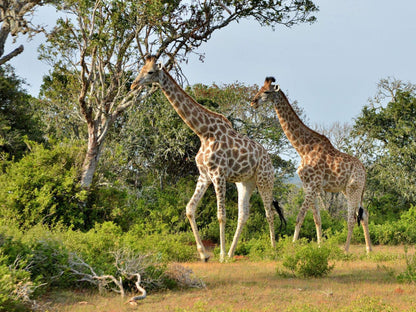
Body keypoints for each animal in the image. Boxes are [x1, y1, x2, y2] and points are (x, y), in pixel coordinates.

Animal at [130, 56, 286, 264]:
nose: (133, 85)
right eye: (141, 68)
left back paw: (273, 250)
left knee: (269, 213)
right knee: (243, 215)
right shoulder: (204, 176)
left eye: (150, 72)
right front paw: (204, 254)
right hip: (245, 183)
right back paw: (232, 253)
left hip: (265, 179)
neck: (203, 133)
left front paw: (219, 255)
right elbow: (189, 208)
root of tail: (268, 158)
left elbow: (221, 215)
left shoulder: (218, 175)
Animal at [249, 76, 372, 254]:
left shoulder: (313, 184)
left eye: (266, 92)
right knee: (364, 214)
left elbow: (299, 217)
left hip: (353, 188)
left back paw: (346, 250)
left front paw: (293, 246)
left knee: (351, 219)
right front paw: (320, 247)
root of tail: (364, 169)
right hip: (349, 190)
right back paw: (369, 250)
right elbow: (317, 219)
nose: (253, 102)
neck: (303, 148)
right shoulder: (309, 185)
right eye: (259, 88)